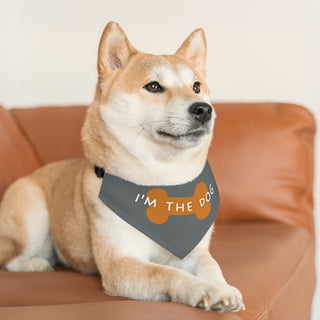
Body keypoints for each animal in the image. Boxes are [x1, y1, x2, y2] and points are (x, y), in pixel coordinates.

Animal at [0, 21, 244, 312]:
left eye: (196, 86)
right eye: (154, 86)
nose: (204, 109)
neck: (162, 183)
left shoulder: (193, 249)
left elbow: (210, 264)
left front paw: (222, 287)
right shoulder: (119, 264)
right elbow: (169, 273)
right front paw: (205, 290)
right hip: (32, 213)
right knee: (10, 258)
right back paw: (35, 264)